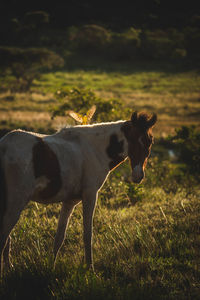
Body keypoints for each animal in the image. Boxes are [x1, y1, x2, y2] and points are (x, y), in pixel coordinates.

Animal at [0, 111, 157, 276]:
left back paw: (9, 268)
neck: (95, 149)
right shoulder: (90, 195)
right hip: (16, 205)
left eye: (150, 141)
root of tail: (4, 146)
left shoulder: (70, 201)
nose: (138, 176)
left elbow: (60, 237)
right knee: (4, 238)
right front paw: (90, 268)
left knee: (6, 239)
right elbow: (88, 234)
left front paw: (51, 266)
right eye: (133, 138)